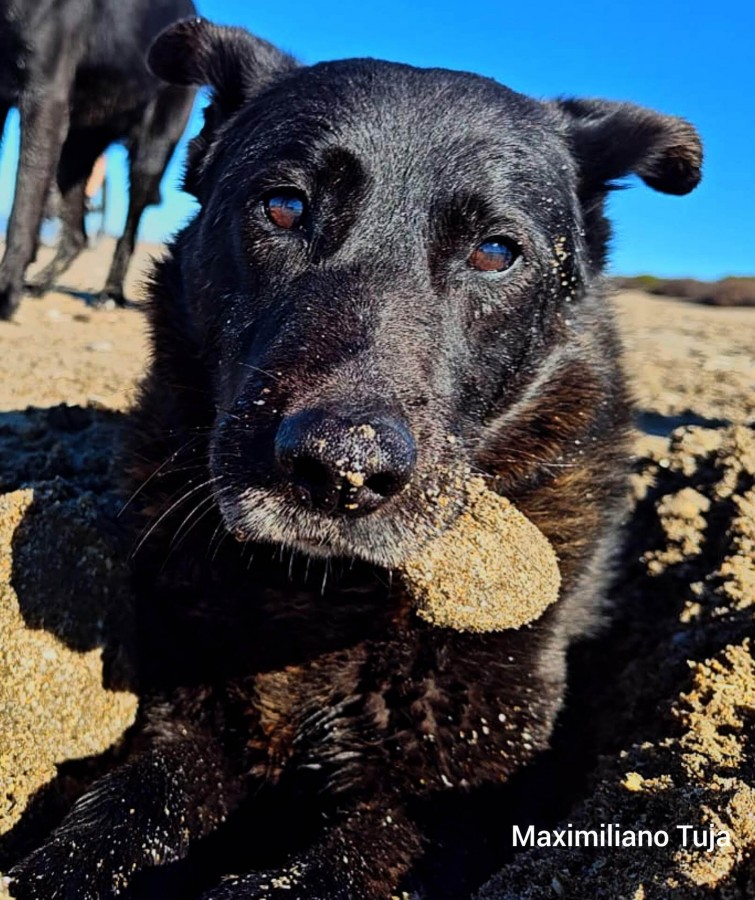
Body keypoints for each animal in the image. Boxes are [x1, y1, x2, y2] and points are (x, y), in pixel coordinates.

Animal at [0, 0, 195, 320]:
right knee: (77, 236)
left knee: (128, 234)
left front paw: (6, 289)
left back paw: (111, 293)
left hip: (150, 156)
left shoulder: (45, 97)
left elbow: (24, 208)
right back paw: (41, 283)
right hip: (73, 152)